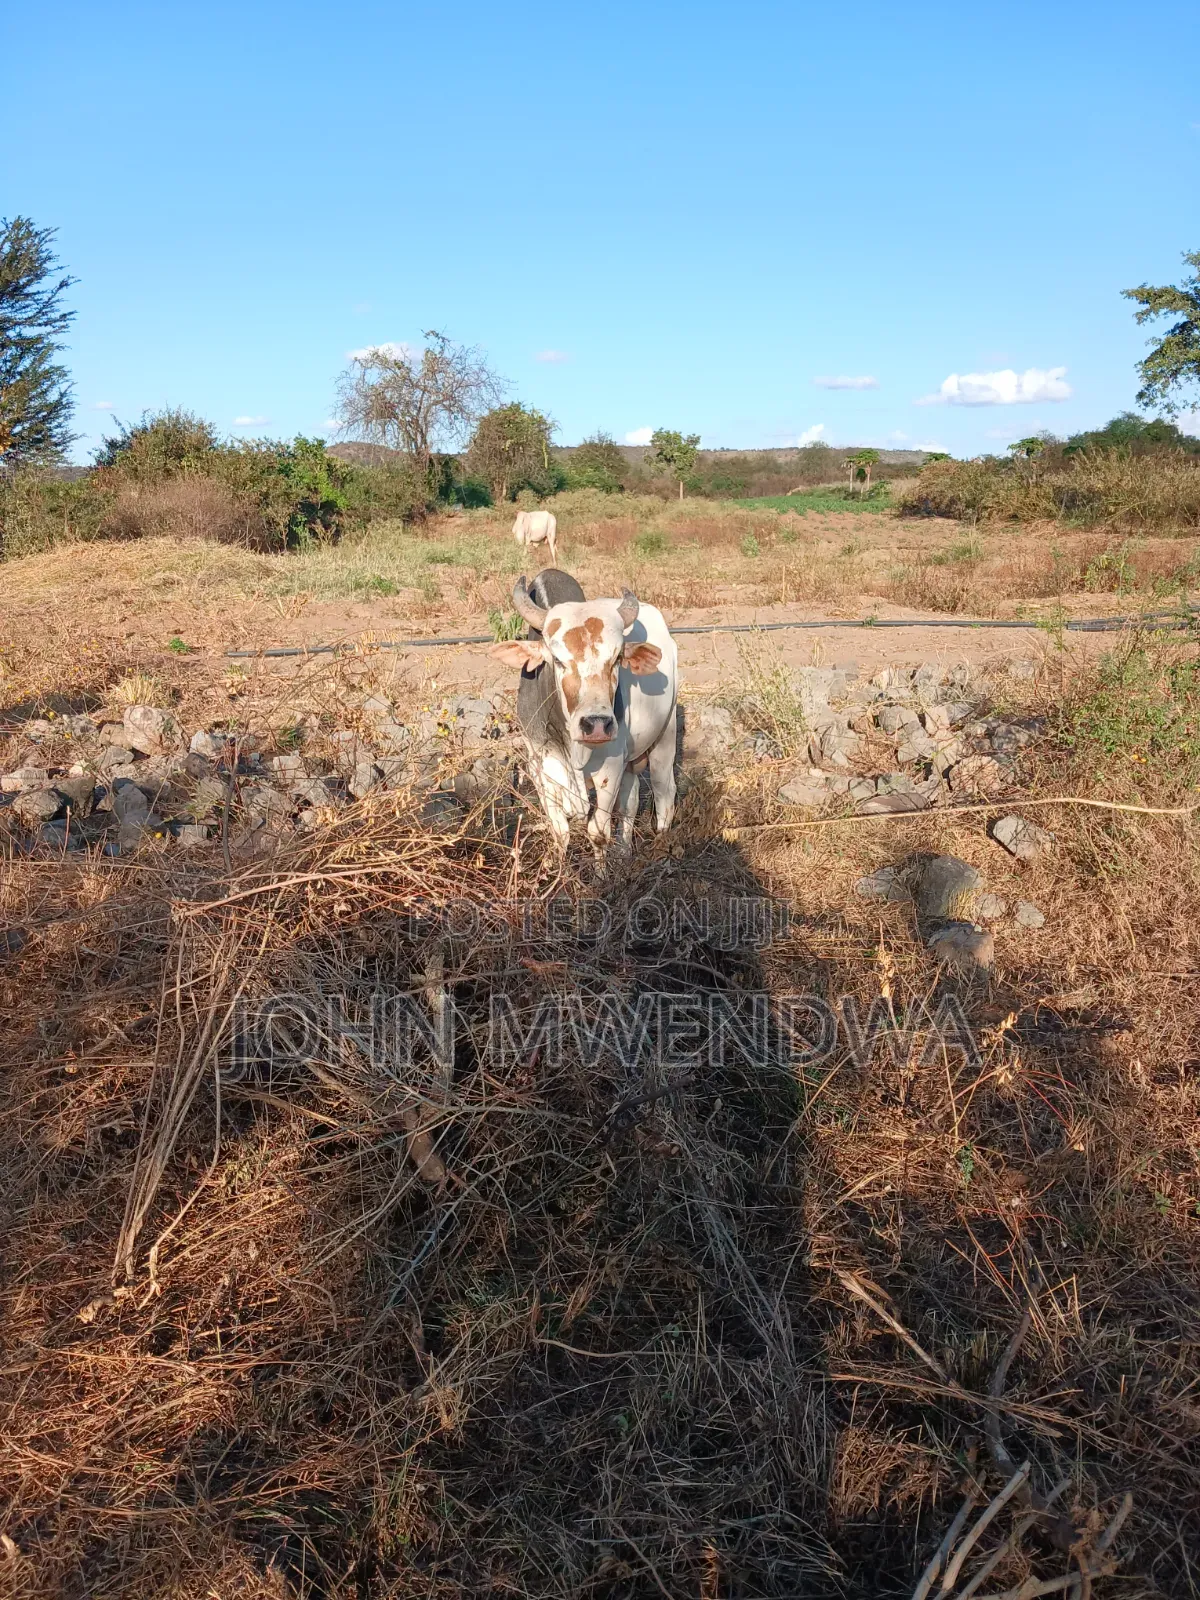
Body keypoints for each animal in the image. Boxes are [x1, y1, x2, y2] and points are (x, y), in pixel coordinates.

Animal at [491, 570, 677, 851]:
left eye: (617, 659)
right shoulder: (540, 768)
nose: (597, 725)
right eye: (557, 660)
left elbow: (598, 832)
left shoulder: (610, 768)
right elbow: (560, 832)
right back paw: (624, 851)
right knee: (631, 800)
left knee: (664, 791)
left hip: (665, 738)